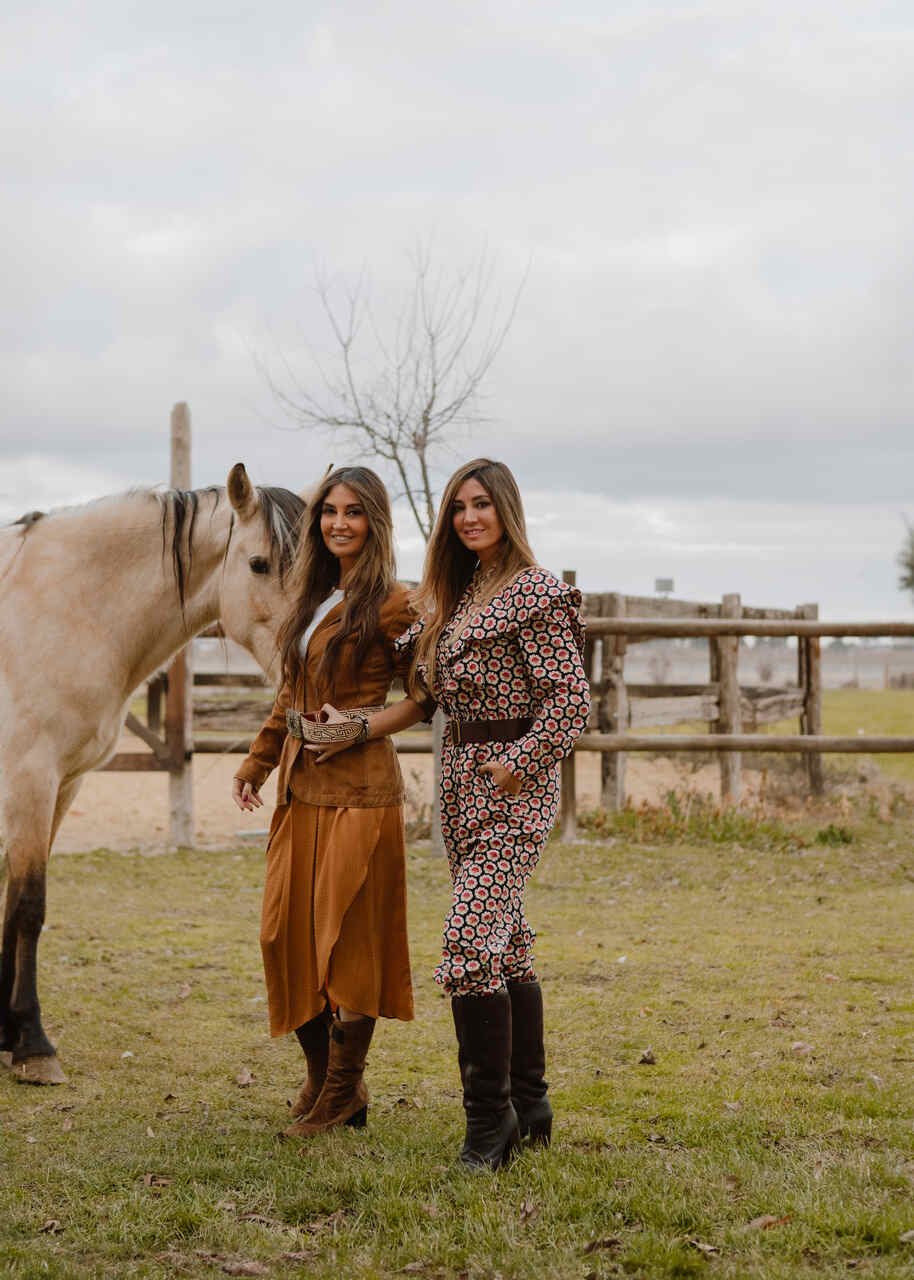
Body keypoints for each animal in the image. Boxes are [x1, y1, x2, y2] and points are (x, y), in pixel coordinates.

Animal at [0, 465, 305, 1085]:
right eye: (258, 563)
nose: (305, 659)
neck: (62, 605)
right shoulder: (30, 779)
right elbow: (27, 904)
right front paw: (33, 1045)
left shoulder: (64, 784)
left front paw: (5, 1036)